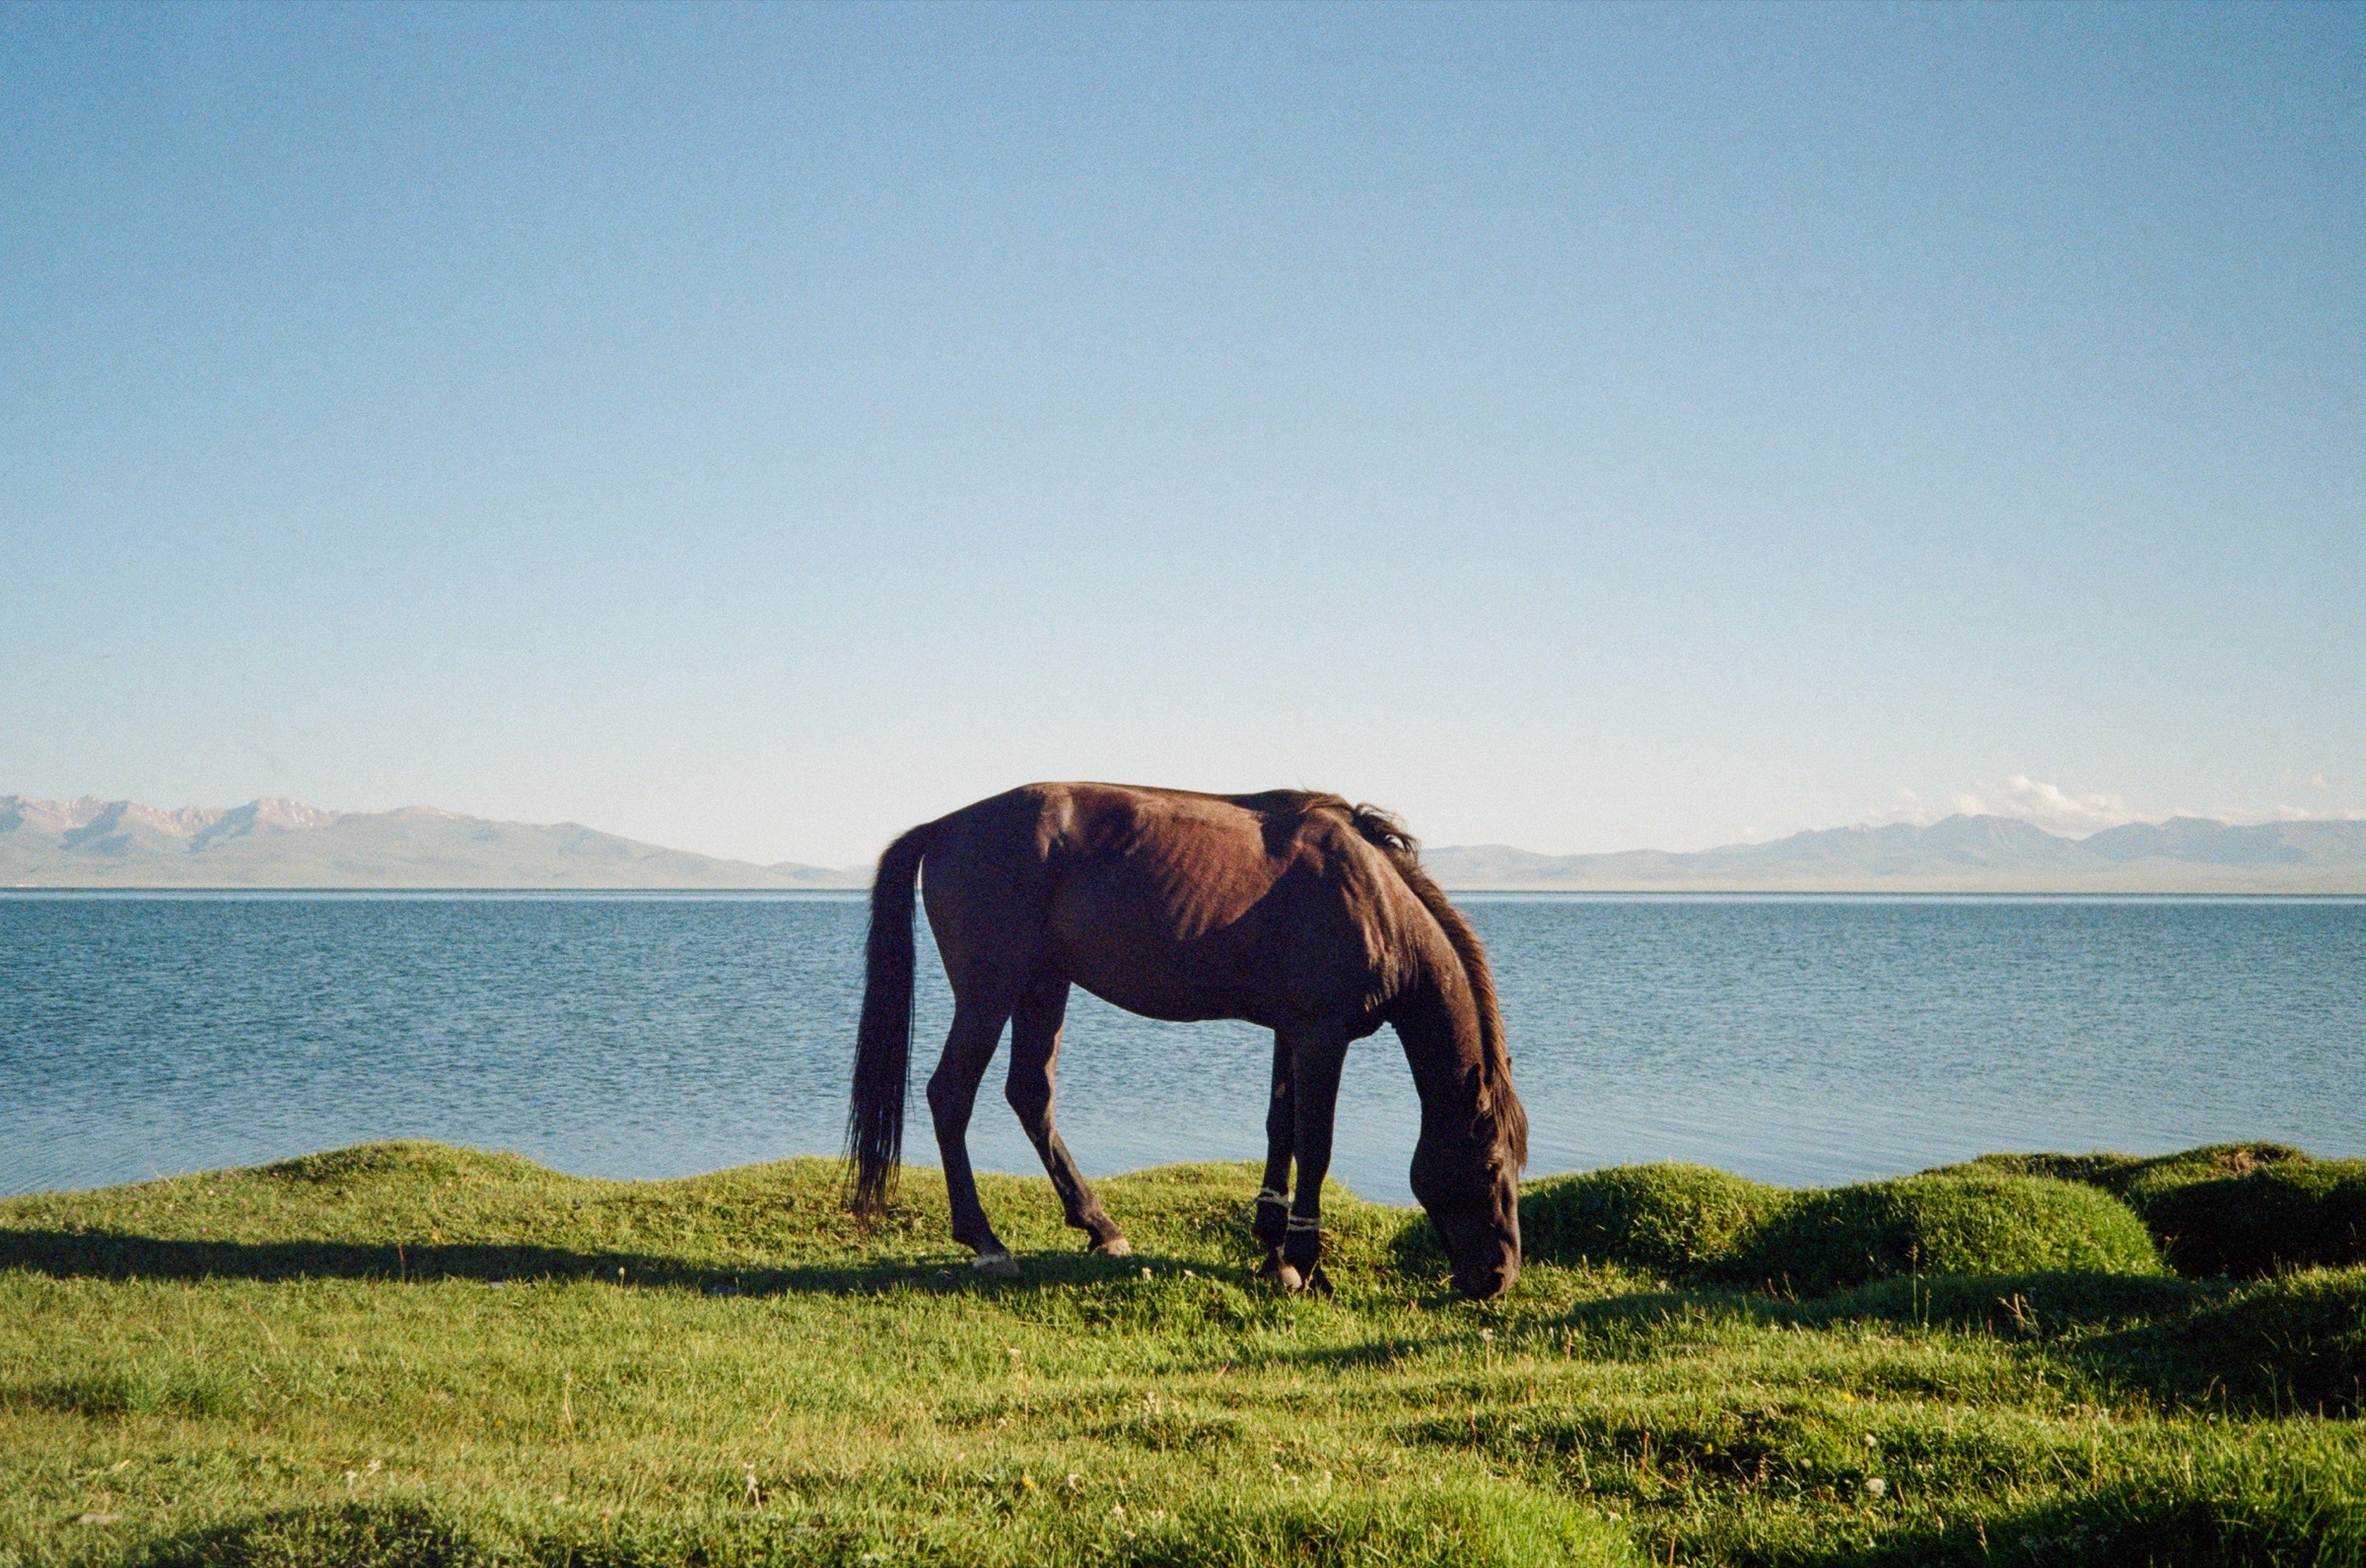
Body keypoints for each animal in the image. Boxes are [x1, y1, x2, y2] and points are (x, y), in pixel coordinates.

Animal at [844, 782, 1528, 1300]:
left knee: (1031, 1096)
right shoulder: (1321, 1036)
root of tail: (945, 826)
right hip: (991, 993)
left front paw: (1275, 1251)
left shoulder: (1290, 1033)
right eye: (1492, 1165)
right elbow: (1316, 1143)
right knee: (950, 1096)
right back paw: (986, 1243)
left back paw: (1099, 1227)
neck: (1375, 900)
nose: (1498, 1277)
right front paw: (1307, 1264)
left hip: (1043, 985)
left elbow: (1281, 1130)